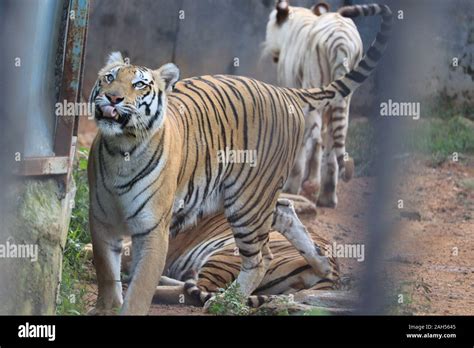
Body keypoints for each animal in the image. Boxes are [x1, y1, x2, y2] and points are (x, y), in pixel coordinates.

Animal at [262, 1, 378, 208]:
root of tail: (341, 40)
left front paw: (292, 186)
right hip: (344, 97)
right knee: (334, 141)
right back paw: (327, 196)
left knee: (315, 139)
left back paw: (308, 186)